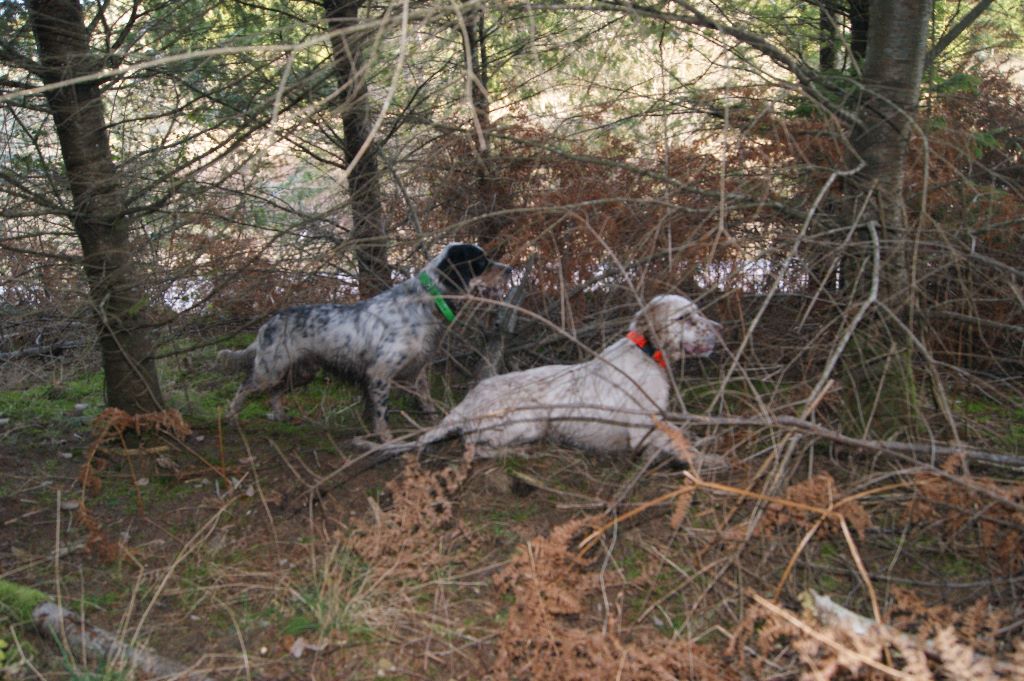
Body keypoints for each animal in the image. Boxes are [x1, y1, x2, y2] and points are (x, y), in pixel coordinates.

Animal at [222, 242, 512, 436]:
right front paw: (387, 442)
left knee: (276, 392)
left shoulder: (418, 372)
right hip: (269, 370)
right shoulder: (379, 374)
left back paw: (280, 415)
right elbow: (382, 414)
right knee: (244, 386)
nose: (509, 269)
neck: (423, 302)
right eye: (481, 262)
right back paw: (230, 418)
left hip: (303, 371)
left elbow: (428, 405)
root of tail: (267, 324)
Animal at [415, 294, 720, 458]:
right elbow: (684, 447)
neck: (645, 352)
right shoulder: (642, 432)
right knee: (473, 447)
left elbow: (684, 434)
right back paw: (515, 453)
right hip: (531, 423)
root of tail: (466, 403)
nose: (720, 328)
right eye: (684, 318)